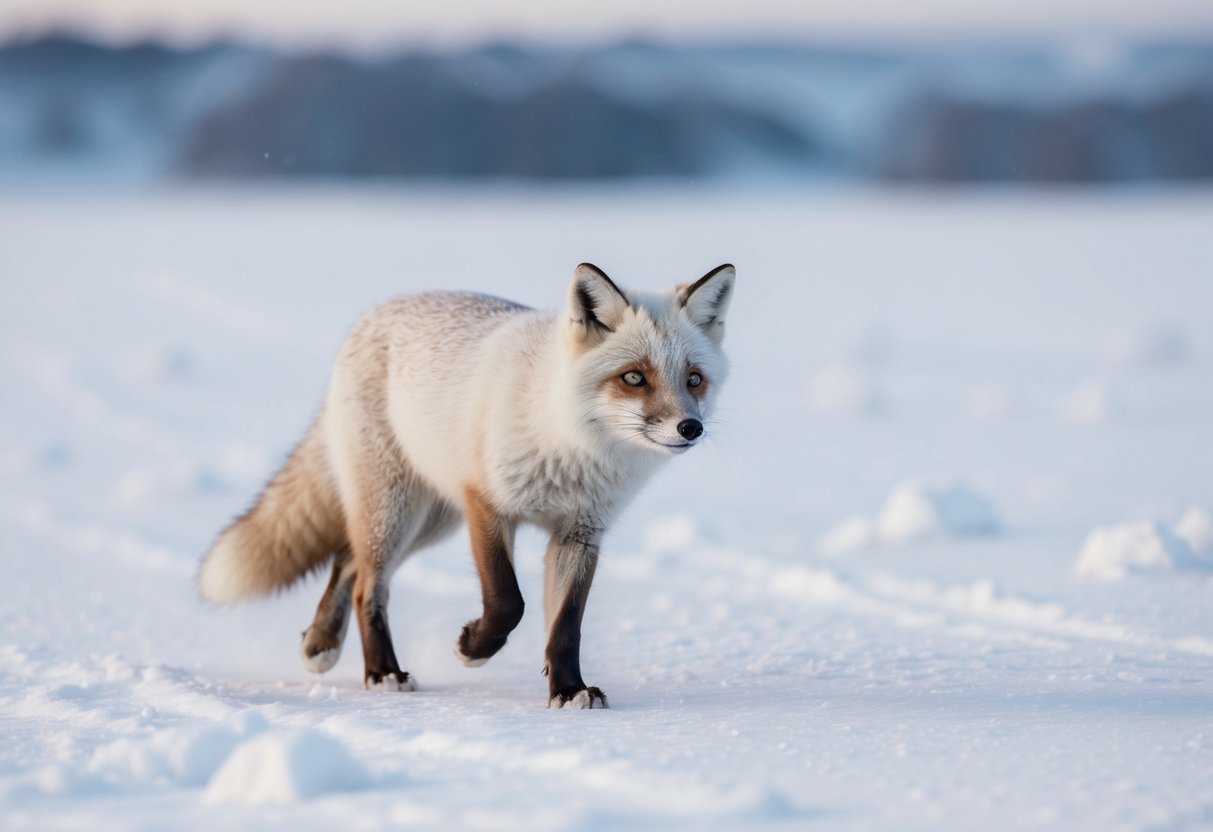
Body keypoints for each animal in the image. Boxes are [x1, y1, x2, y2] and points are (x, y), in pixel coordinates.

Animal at [197, 262, 734, 708]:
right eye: (634, 378)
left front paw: (568, 691)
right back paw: (382, 673)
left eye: (693, 379)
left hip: (429, 522)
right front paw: (473, 647)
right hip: (399, 510)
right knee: (369, 584)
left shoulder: (580, 533)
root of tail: (376, 311)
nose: (690, 428)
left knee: (348, 561)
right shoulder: (487, 504)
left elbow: (566, 627)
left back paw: (320, 643)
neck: (571, 445)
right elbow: (508, 603)